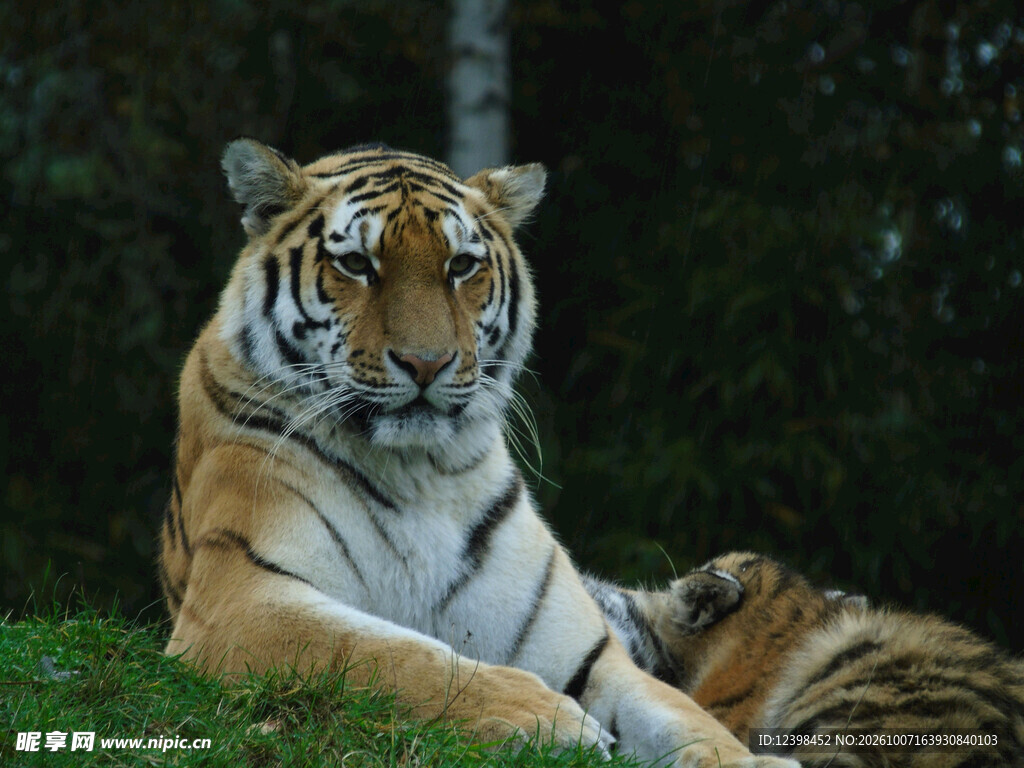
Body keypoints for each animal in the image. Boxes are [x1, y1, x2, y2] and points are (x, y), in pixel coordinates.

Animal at [157, 138, 798, 768]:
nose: (426, 363)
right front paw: (547, 719)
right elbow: (388, 655)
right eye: (357, 264)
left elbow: (686, 719)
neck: (418, 471)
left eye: (461, 265)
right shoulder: (244, 598)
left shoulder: (587, 650)